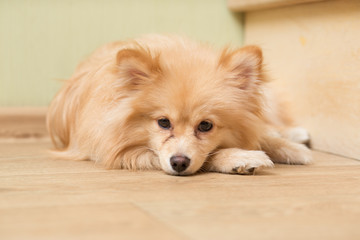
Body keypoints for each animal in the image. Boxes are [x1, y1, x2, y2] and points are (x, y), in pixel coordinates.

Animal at [46, 34, 310, 176]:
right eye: (163, 123)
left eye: (205, 126)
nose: (179, 162)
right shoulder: (123, 152)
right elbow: (212, 155)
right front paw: (239, 157)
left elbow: (261, 133)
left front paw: (292, 149)